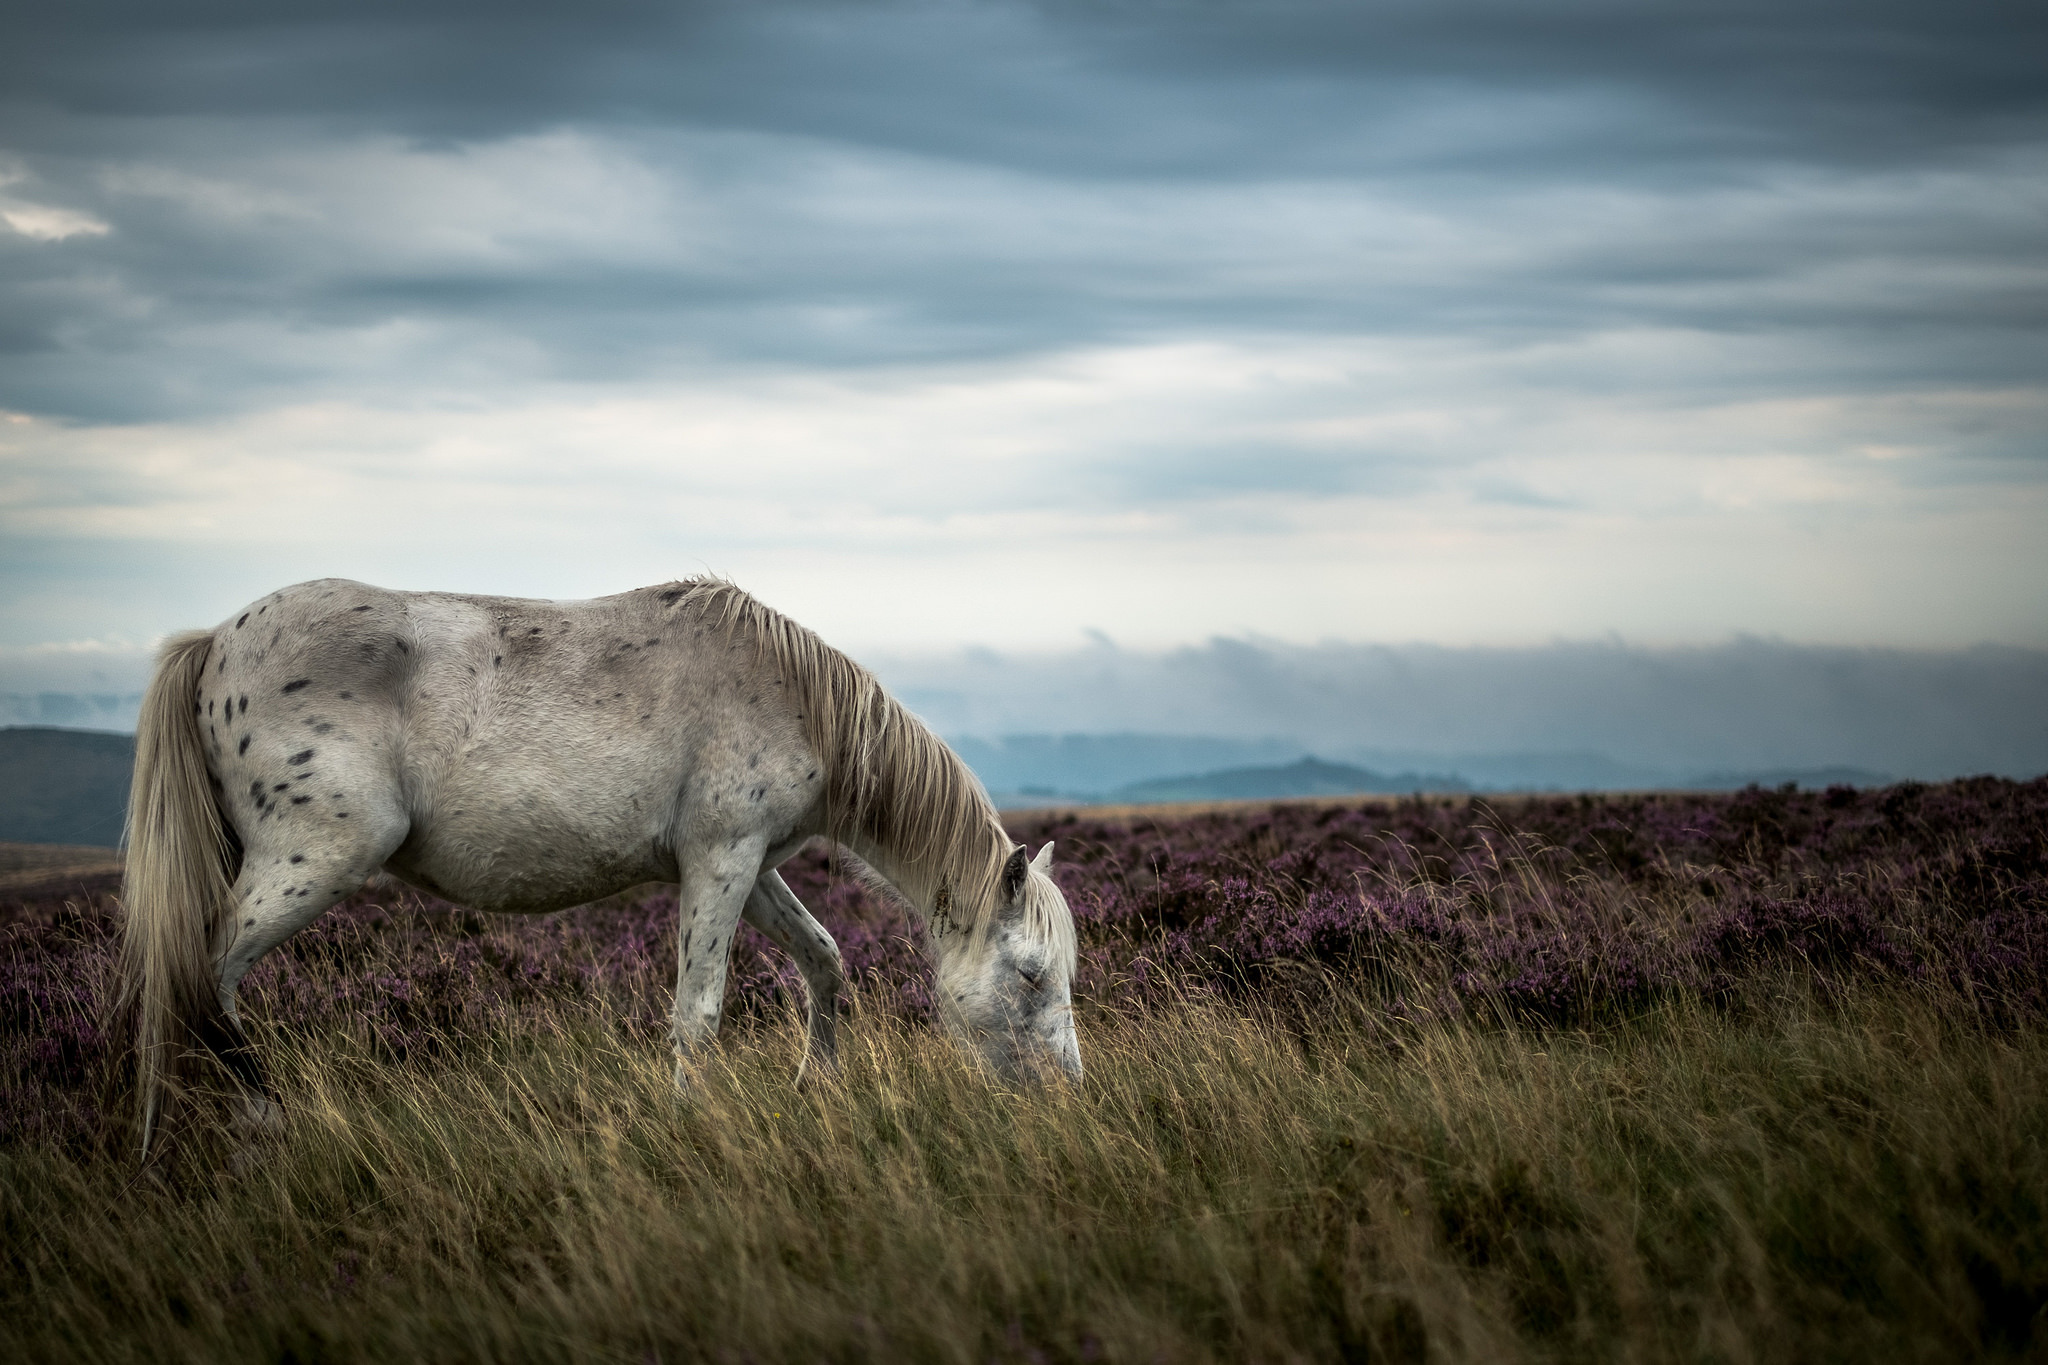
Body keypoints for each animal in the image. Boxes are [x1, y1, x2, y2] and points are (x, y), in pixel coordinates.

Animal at [117, 577, 1081, 1154]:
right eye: (1032, 974)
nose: (1069, 1093)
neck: (793, 696)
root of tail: (215, 642)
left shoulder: (751, 866)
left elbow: (825, 959)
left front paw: (820, 1083)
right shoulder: (720, 860)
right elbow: (698, 1012)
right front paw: (691, 1120)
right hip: (313, 861)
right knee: (203, 976)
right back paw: (264, 1126)